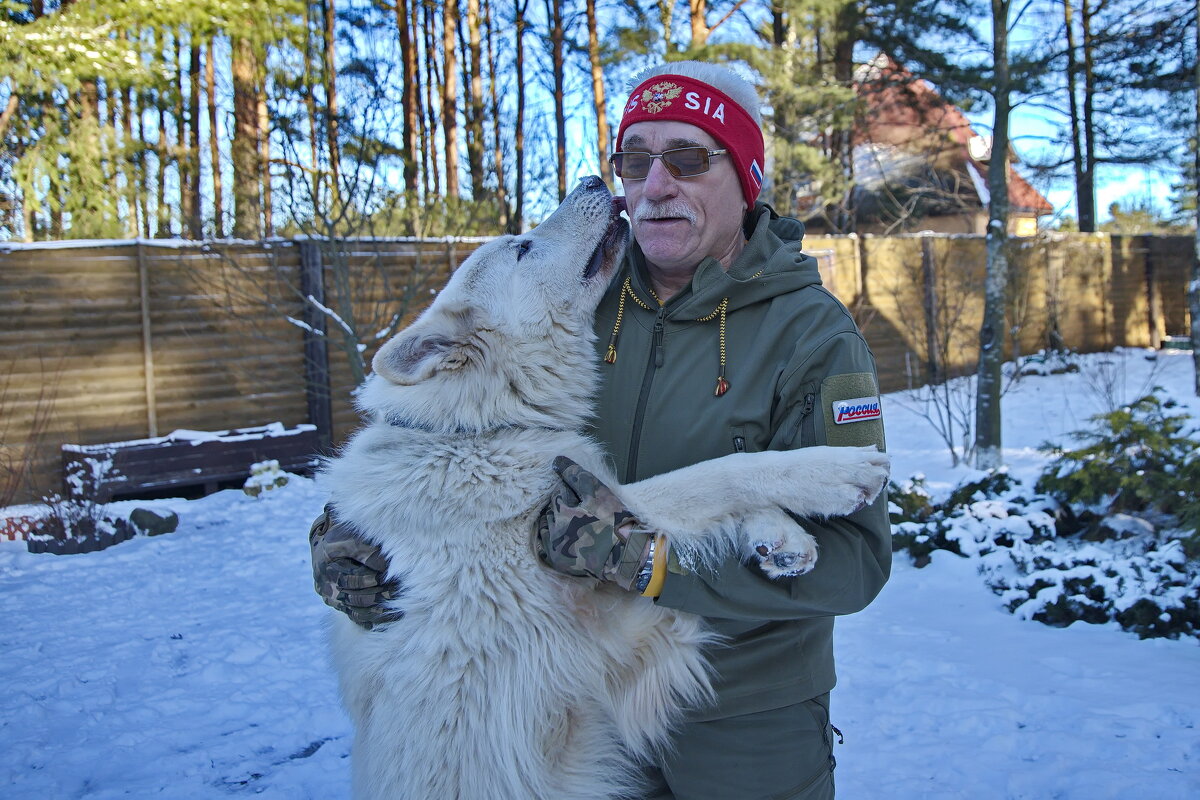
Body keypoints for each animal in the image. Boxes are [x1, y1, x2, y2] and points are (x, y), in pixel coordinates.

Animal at [321, 178, 892, 796]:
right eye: (522, 248)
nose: (593, 181)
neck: (475, 428)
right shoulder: (609, 615)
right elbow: (715, 474)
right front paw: (835, 472)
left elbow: (706, 488)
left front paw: (782, 540)